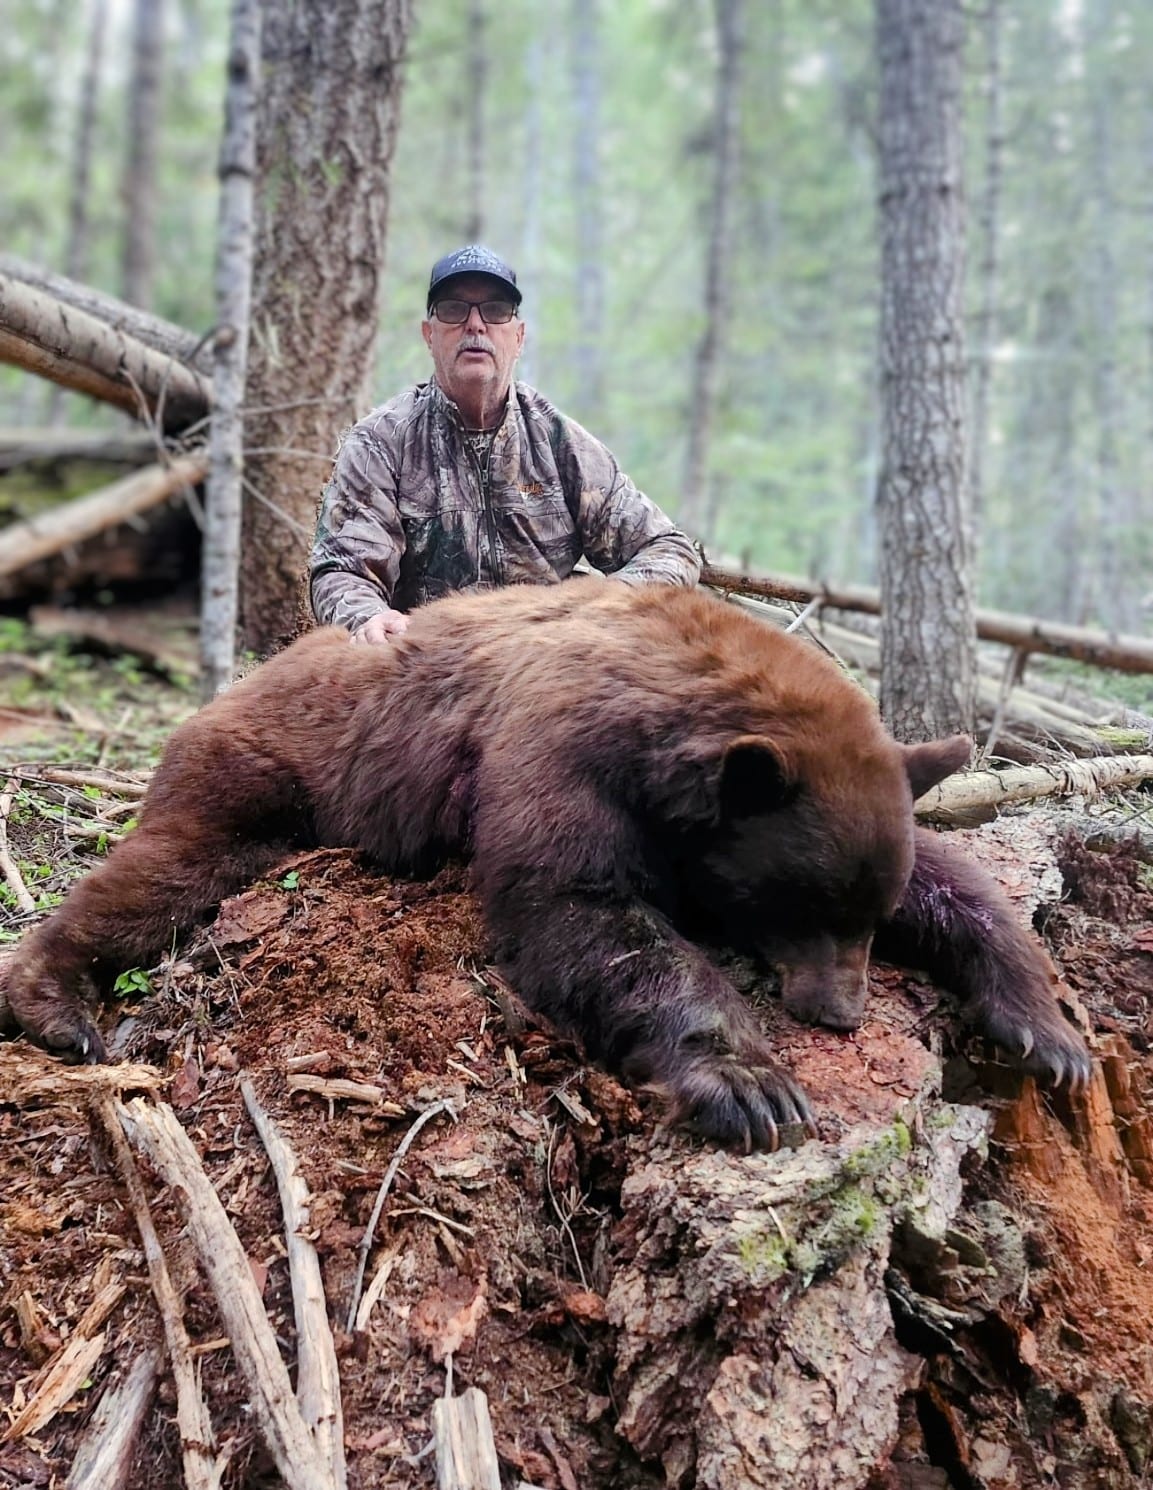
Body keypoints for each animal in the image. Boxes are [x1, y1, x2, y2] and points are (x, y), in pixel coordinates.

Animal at [2, 581, 1091, 1149]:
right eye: (803, 904)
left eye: (860, 908)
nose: (840, 1012)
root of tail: (241, 678)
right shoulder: (562, 749)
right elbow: (579, 909)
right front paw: (751, 1084)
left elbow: (954, 877)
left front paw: (1048, 1032)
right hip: (262, 771)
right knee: (159, 875)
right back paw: (59, 1003)